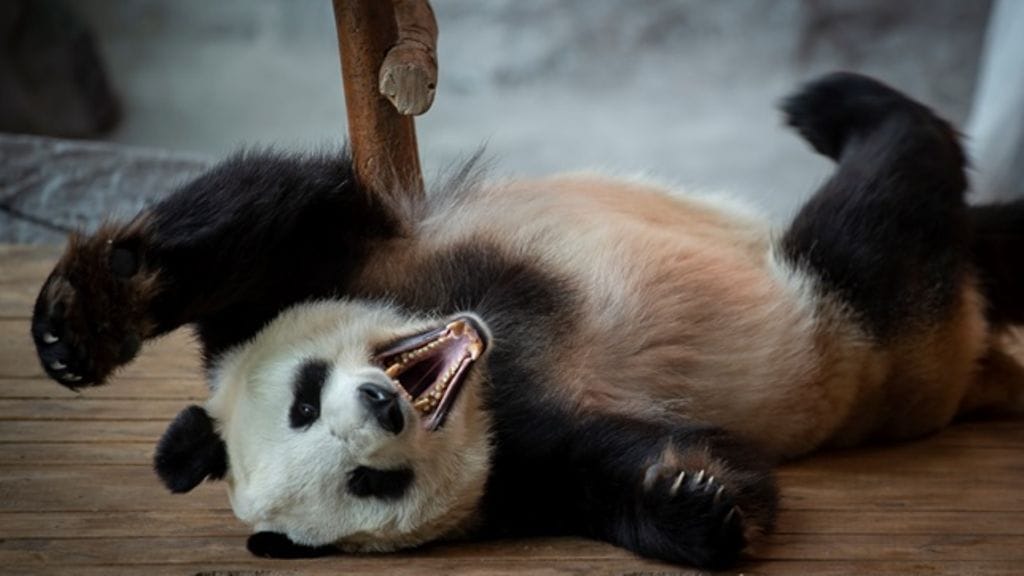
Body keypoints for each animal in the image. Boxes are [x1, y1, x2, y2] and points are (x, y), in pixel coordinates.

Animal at [30, 73, 1024, 569]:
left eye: (305, 399)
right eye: (369, 484)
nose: (384, 408)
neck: (496, 365)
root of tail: (967, 346)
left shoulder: (339, 263)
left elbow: (261, 214)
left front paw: (79, 322)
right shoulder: (522, 463)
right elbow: (625, 468)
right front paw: (698, 498)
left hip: (849, 292)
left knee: (895, 162)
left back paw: (831, 101)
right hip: (866, 311)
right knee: (898, 203)